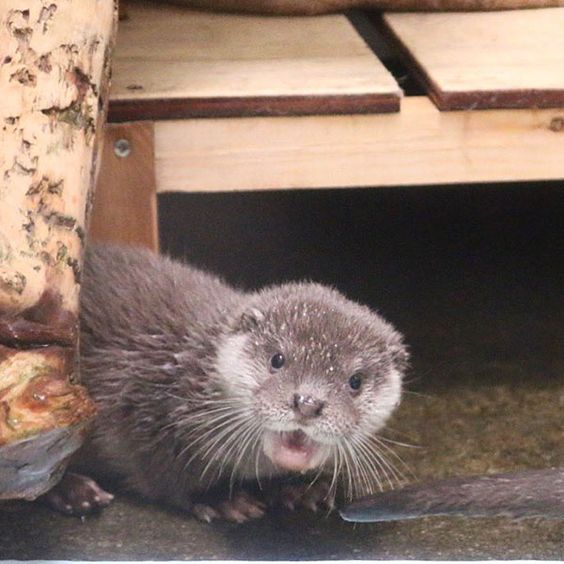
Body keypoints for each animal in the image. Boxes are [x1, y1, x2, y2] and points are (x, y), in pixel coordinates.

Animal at [43, 245, 406, 524]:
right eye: (278, 359)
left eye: (355, 381)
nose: (307, 402)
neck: (185, 376)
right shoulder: (139, 409)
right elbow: (162, 472)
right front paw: (222, 499)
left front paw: (303, 487)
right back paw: (76, 492)